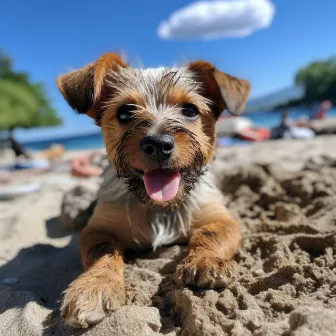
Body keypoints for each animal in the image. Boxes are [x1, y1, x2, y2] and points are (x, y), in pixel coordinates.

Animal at [56, 52, 249, 328]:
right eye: (125, 112)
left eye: (190, 110)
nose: (158, 144)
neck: (159, 206)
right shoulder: (98, 229)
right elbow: (103, 252)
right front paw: (93, 286)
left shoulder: (220, 218)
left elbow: (210, 234)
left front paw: (205, 260)